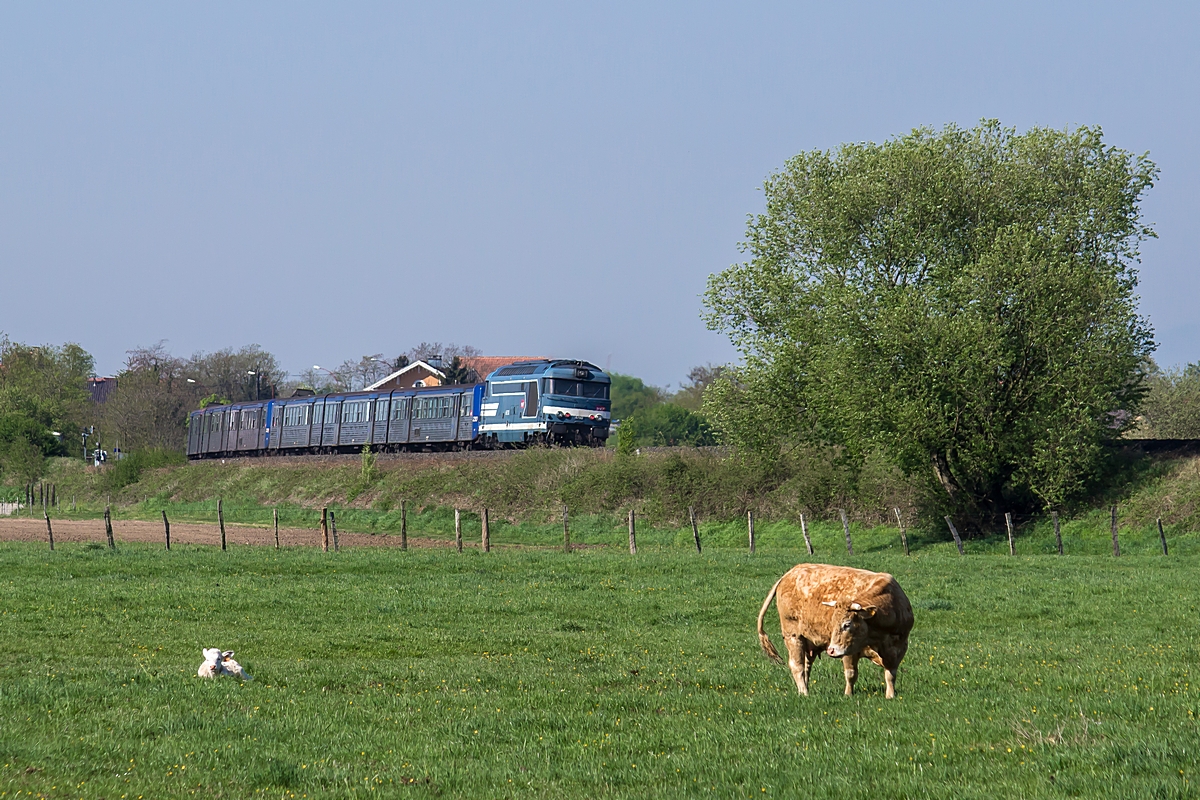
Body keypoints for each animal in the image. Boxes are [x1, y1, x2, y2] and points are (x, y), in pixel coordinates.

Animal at [753, 563, 912, 700]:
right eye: (833, 623)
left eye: (847, 624)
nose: (831, 650)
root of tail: (790, 573)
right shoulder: (848, 650)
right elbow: (851, 674)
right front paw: (848, 695)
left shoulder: (899, 648)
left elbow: (890, 675)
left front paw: (890, 696)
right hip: (793, 636)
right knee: (797, 666)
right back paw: (804, 692)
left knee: (806, 665)